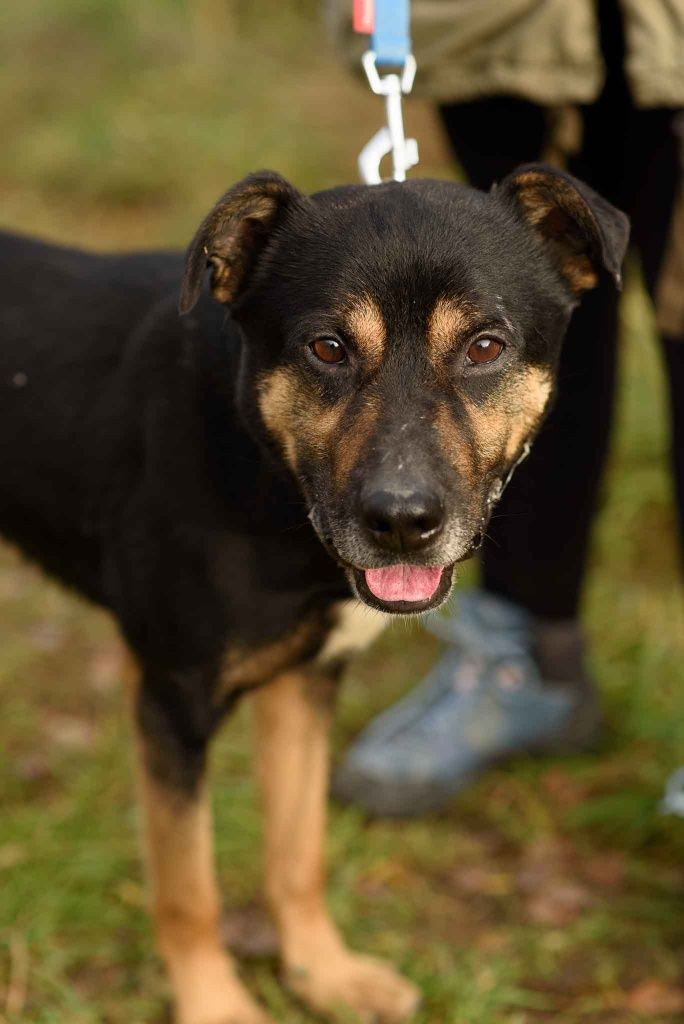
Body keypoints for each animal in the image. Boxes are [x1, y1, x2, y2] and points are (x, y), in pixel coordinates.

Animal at [0, 167, 626, 1024]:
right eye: (327, 348)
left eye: (484, 346)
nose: (401, 522)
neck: (263, 471)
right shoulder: (170, 697)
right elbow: (187, 886)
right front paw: (218, 1007)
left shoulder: (305, 682)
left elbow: (297, 851)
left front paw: (322, 975)